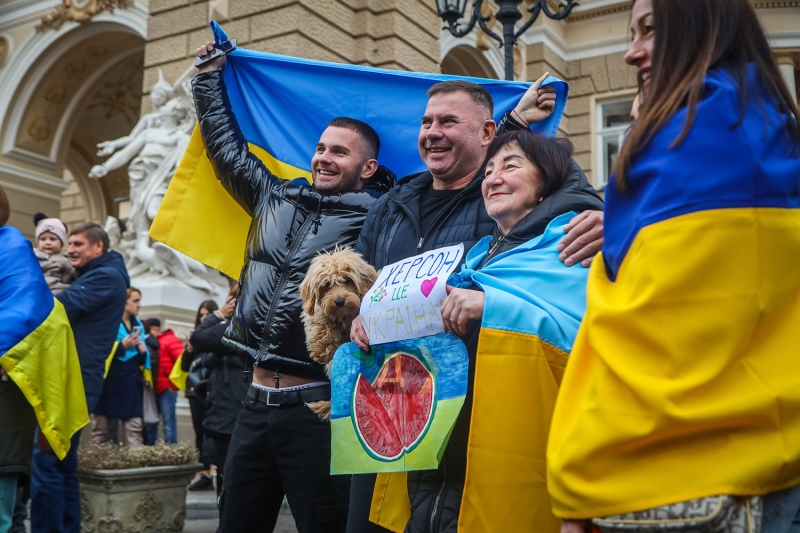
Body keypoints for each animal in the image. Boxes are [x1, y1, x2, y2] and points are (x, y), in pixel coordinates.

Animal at [300, 247, 378, 418]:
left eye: (347, 280)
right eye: (326, 284)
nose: (339, 301)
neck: (344, 315)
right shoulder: (318, 311)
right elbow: (320, 320)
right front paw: (321, 350)